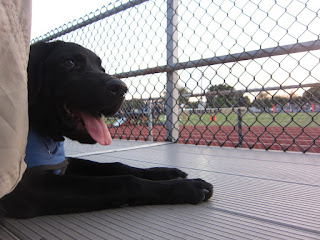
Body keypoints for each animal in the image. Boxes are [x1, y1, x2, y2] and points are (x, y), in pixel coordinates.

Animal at [0, 41, 212, 219]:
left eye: (102, 69)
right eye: (69, 62)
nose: (122, 89)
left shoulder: (64, 163)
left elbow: (116, 165)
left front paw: (165, 172)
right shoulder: (27, 188)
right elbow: (125, 181)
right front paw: (189, 187)